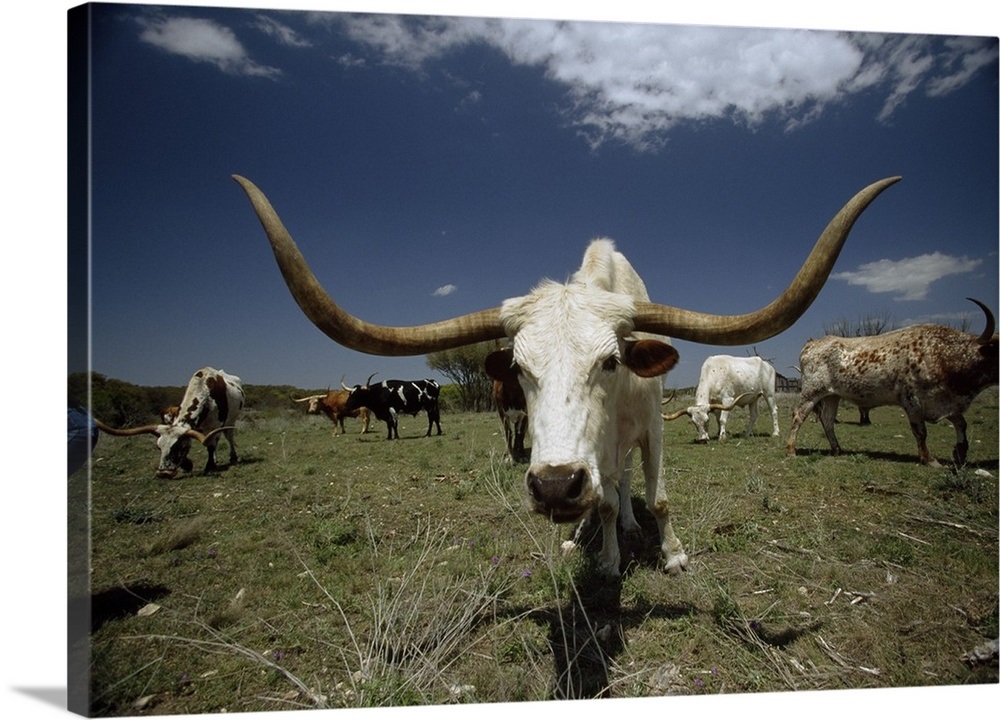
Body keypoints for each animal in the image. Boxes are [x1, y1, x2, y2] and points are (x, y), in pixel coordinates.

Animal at [94, 367, 244, 478]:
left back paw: (232, 457)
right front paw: (187, 464)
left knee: (228, 437)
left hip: (231, 420)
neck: (205, 390)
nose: (164, 473)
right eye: (159, 447)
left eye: (177, 447)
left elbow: (211, 445)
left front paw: (210, 466)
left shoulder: (216, 424)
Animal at [234, 173, 899, 577]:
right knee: (610, 489)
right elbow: (603, 499)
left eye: (610, 361)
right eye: (521, 370)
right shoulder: (592, 449)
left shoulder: (653, 429)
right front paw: (601, 553)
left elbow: (658, 495)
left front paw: (673, 555)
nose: (554, 487)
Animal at [786, 298, 998, 467]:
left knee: (828, 420)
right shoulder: (912, 402)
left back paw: (837, 449)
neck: (943, 354)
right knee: (798, 416)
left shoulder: (945, 403)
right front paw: (929, 459)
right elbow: (921, 432)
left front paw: (960, 453)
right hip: (812, 392)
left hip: (832, 396)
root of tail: (813, 343)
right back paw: (791, 450)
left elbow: (962, 424)